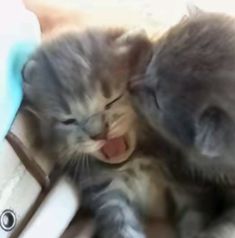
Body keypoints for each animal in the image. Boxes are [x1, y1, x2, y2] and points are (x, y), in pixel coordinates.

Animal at [22, 28, 170, 238]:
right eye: (68, 121)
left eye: (112, 101)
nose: (99, 134)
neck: (133, 162)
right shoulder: (108, 195)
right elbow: (121, 225)